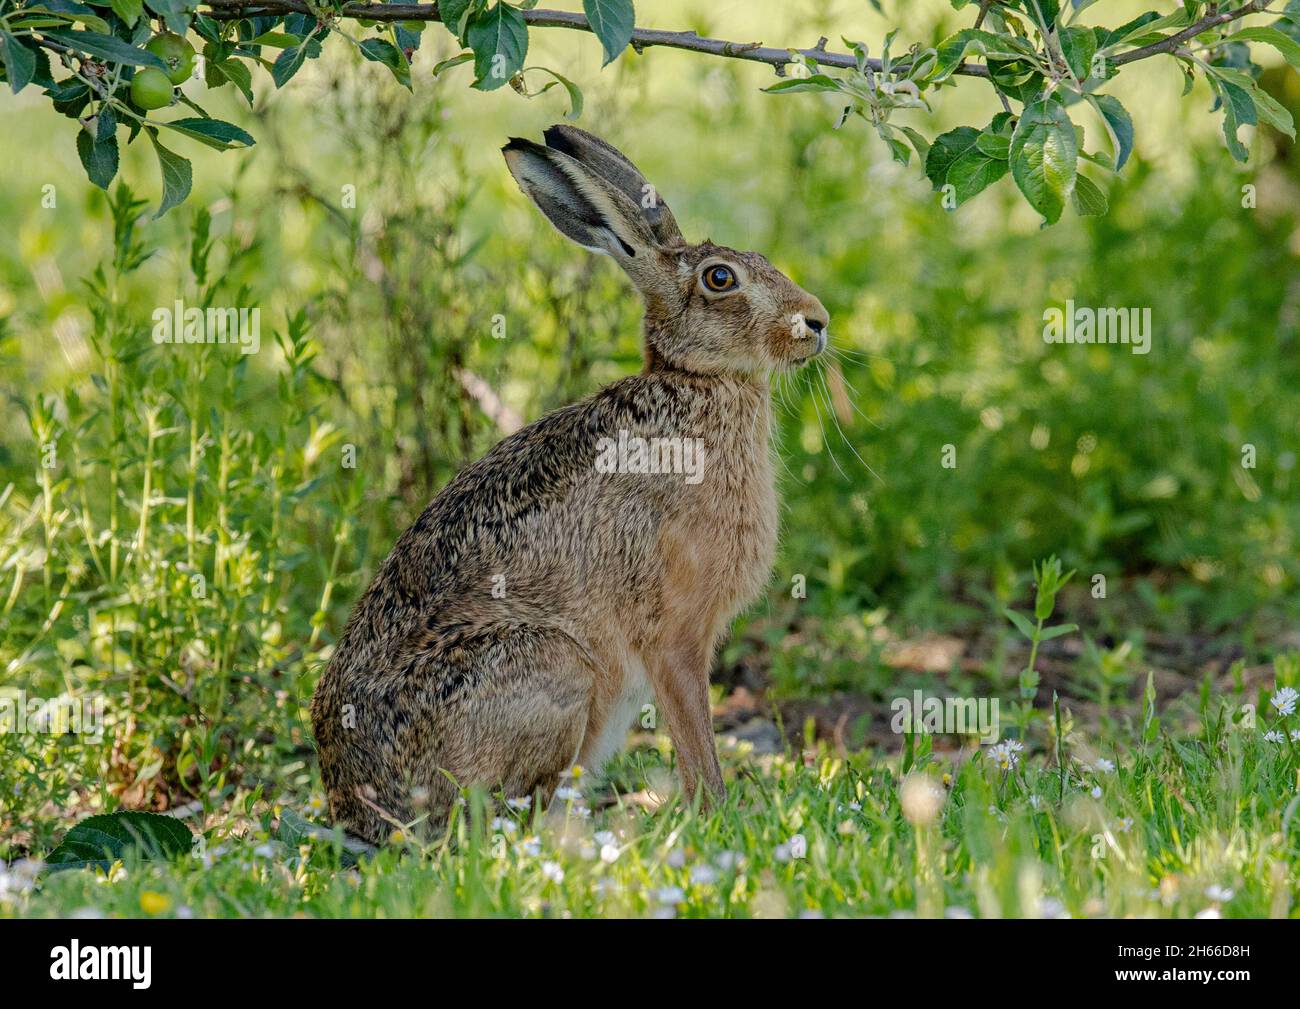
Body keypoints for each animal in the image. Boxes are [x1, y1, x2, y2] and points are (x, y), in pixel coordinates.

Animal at [311, 124, 829, 845]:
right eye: (721, 278)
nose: (817, 321)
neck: (694, 381)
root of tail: (357, 807)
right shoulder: (674, 635)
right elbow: (695, 737)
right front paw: (715, 816)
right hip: (553, 665)